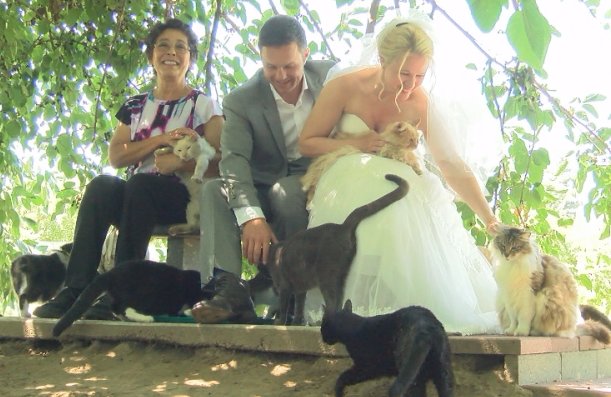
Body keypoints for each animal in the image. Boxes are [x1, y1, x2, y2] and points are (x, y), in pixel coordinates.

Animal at [52, 260, 203, 338]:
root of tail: (111, 273)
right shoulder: (180, 296)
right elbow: (182, 307)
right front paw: (190, 311)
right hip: (143, 293)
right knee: (125, 307)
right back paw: (145, 318)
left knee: (115, 307)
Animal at [266, 174, 406, 324]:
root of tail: (342, 226)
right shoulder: (300, 289)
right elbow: (299, 307)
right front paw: (297, 322)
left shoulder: (284, 287)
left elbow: (284, 308)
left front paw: (280, 323)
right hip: (342, 276)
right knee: (340, 301)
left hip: (327, 276)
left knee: (332, 303)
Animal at [320, 300, 454, 396]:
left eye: (322, 327)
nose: (323, 337)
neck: (353, 328)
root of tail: (425, 327)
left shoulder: (365, 368)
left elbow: (343, 377)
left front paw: (338, 392)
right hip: (443, 373)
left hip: (411, 374)